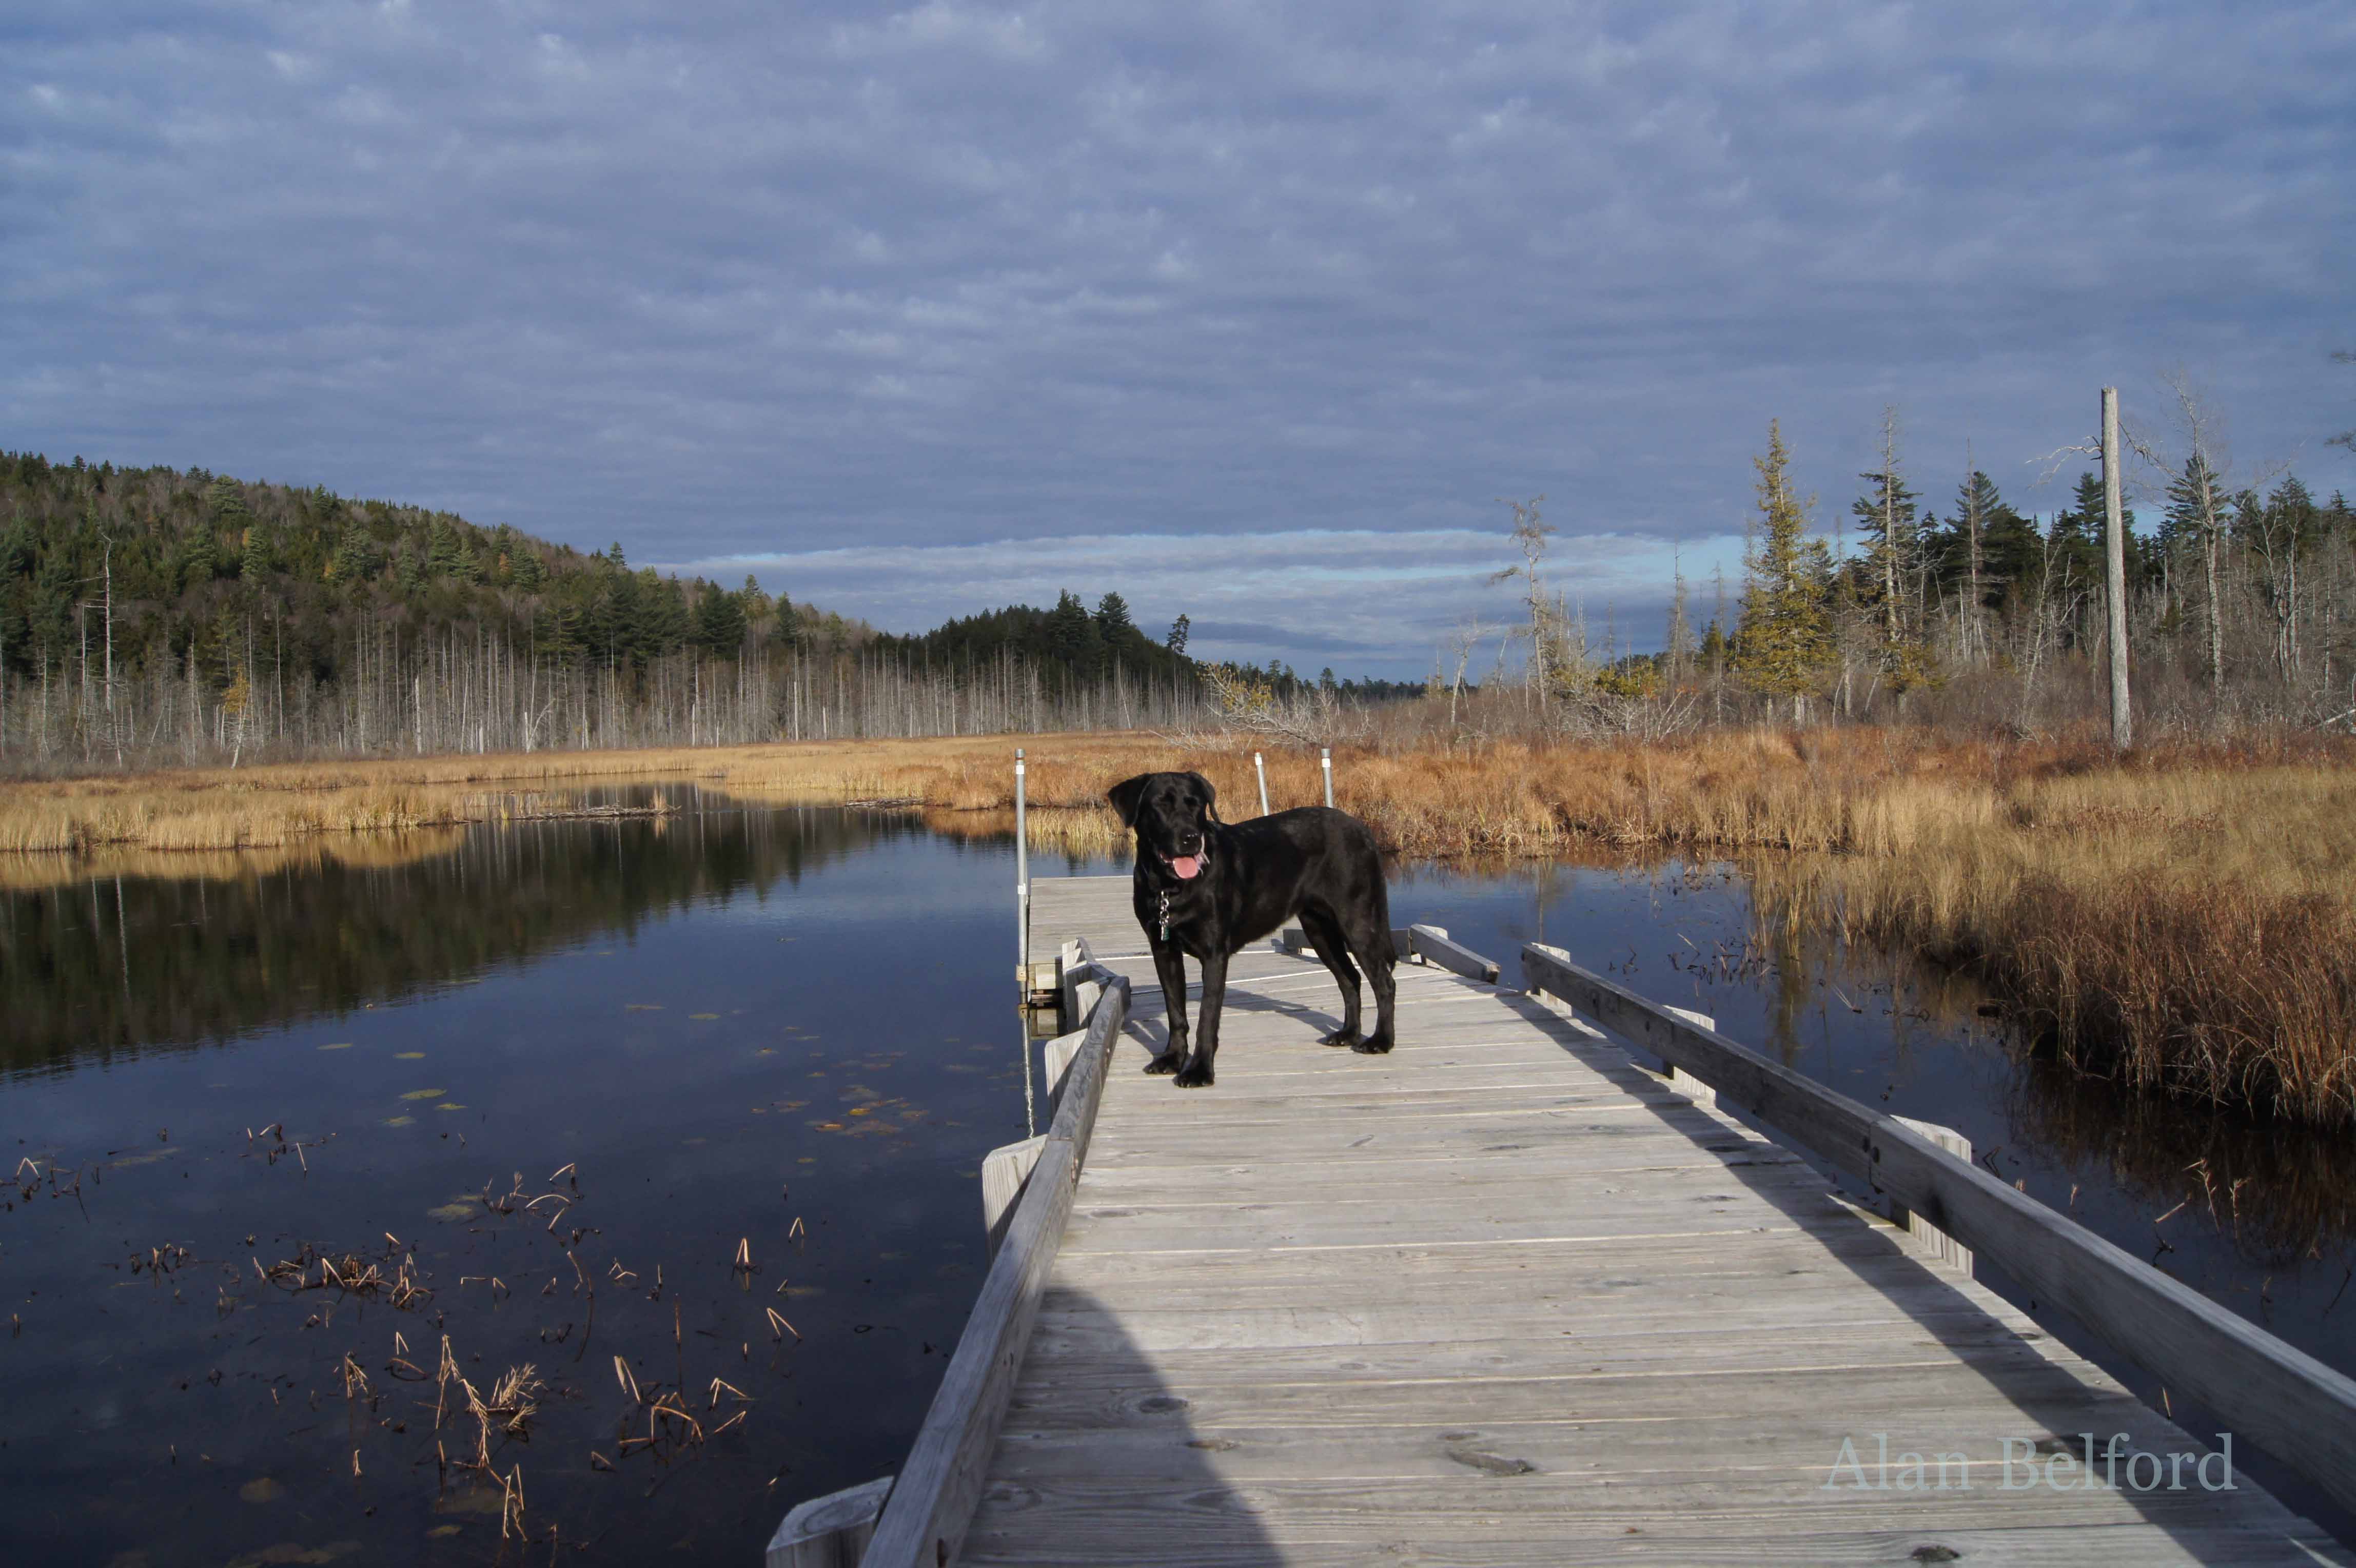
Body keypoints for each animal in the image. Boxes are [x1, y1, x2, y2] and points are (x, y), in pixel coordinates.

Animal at [1107, 762, 1395, 1083]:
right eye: (1161, 805)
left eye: (1196, 805)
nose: (1191, 838)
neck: (1170, 889)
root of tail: (1363, 829)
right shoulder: (1163, 950)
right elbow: (1176, 1013)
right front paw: (1172, 1058)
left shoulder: (1214, 954)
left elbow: (1207, 1016)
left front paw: (1199, 1070)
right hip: (1319, 929)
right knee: (1350, 978)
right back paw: (1348, 1034)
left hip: (1358, 921)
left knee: (1384, 982)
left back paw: (1381, 1040)